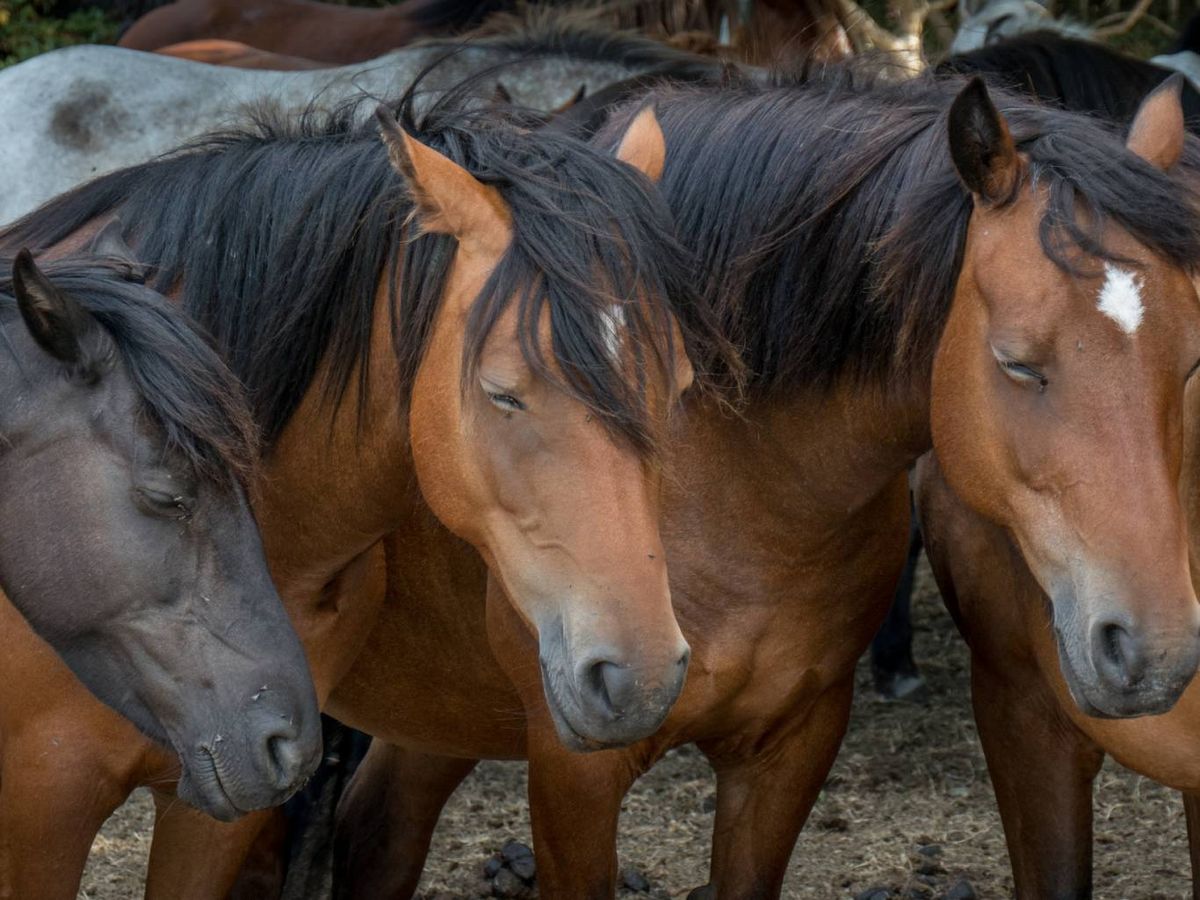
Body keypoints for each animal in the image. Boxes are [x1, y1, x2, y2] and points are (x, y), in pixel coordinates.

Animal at [250, 69, 1200, 900]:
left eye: (1189, 364)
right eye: (1017, 363)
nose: (1153, 650)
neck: (735, 489)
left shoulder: (789, 745)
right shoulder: (573, 767)